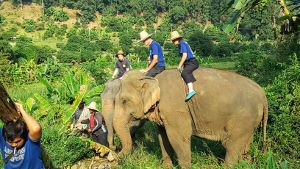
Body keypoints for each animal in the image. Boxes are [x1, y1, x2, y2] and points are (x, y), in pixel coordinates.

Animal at [112, 68, 268, 168]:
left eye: (124, 101)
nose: (115, 152)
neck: (151, 76)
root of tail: (263, 94)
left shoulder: (176, 109)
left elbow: (178, 138)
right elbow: (163, 137)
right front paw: (167, 167)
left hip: (244, 118)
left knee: (231, 146)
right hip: (250, 122)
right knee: (244, 146)